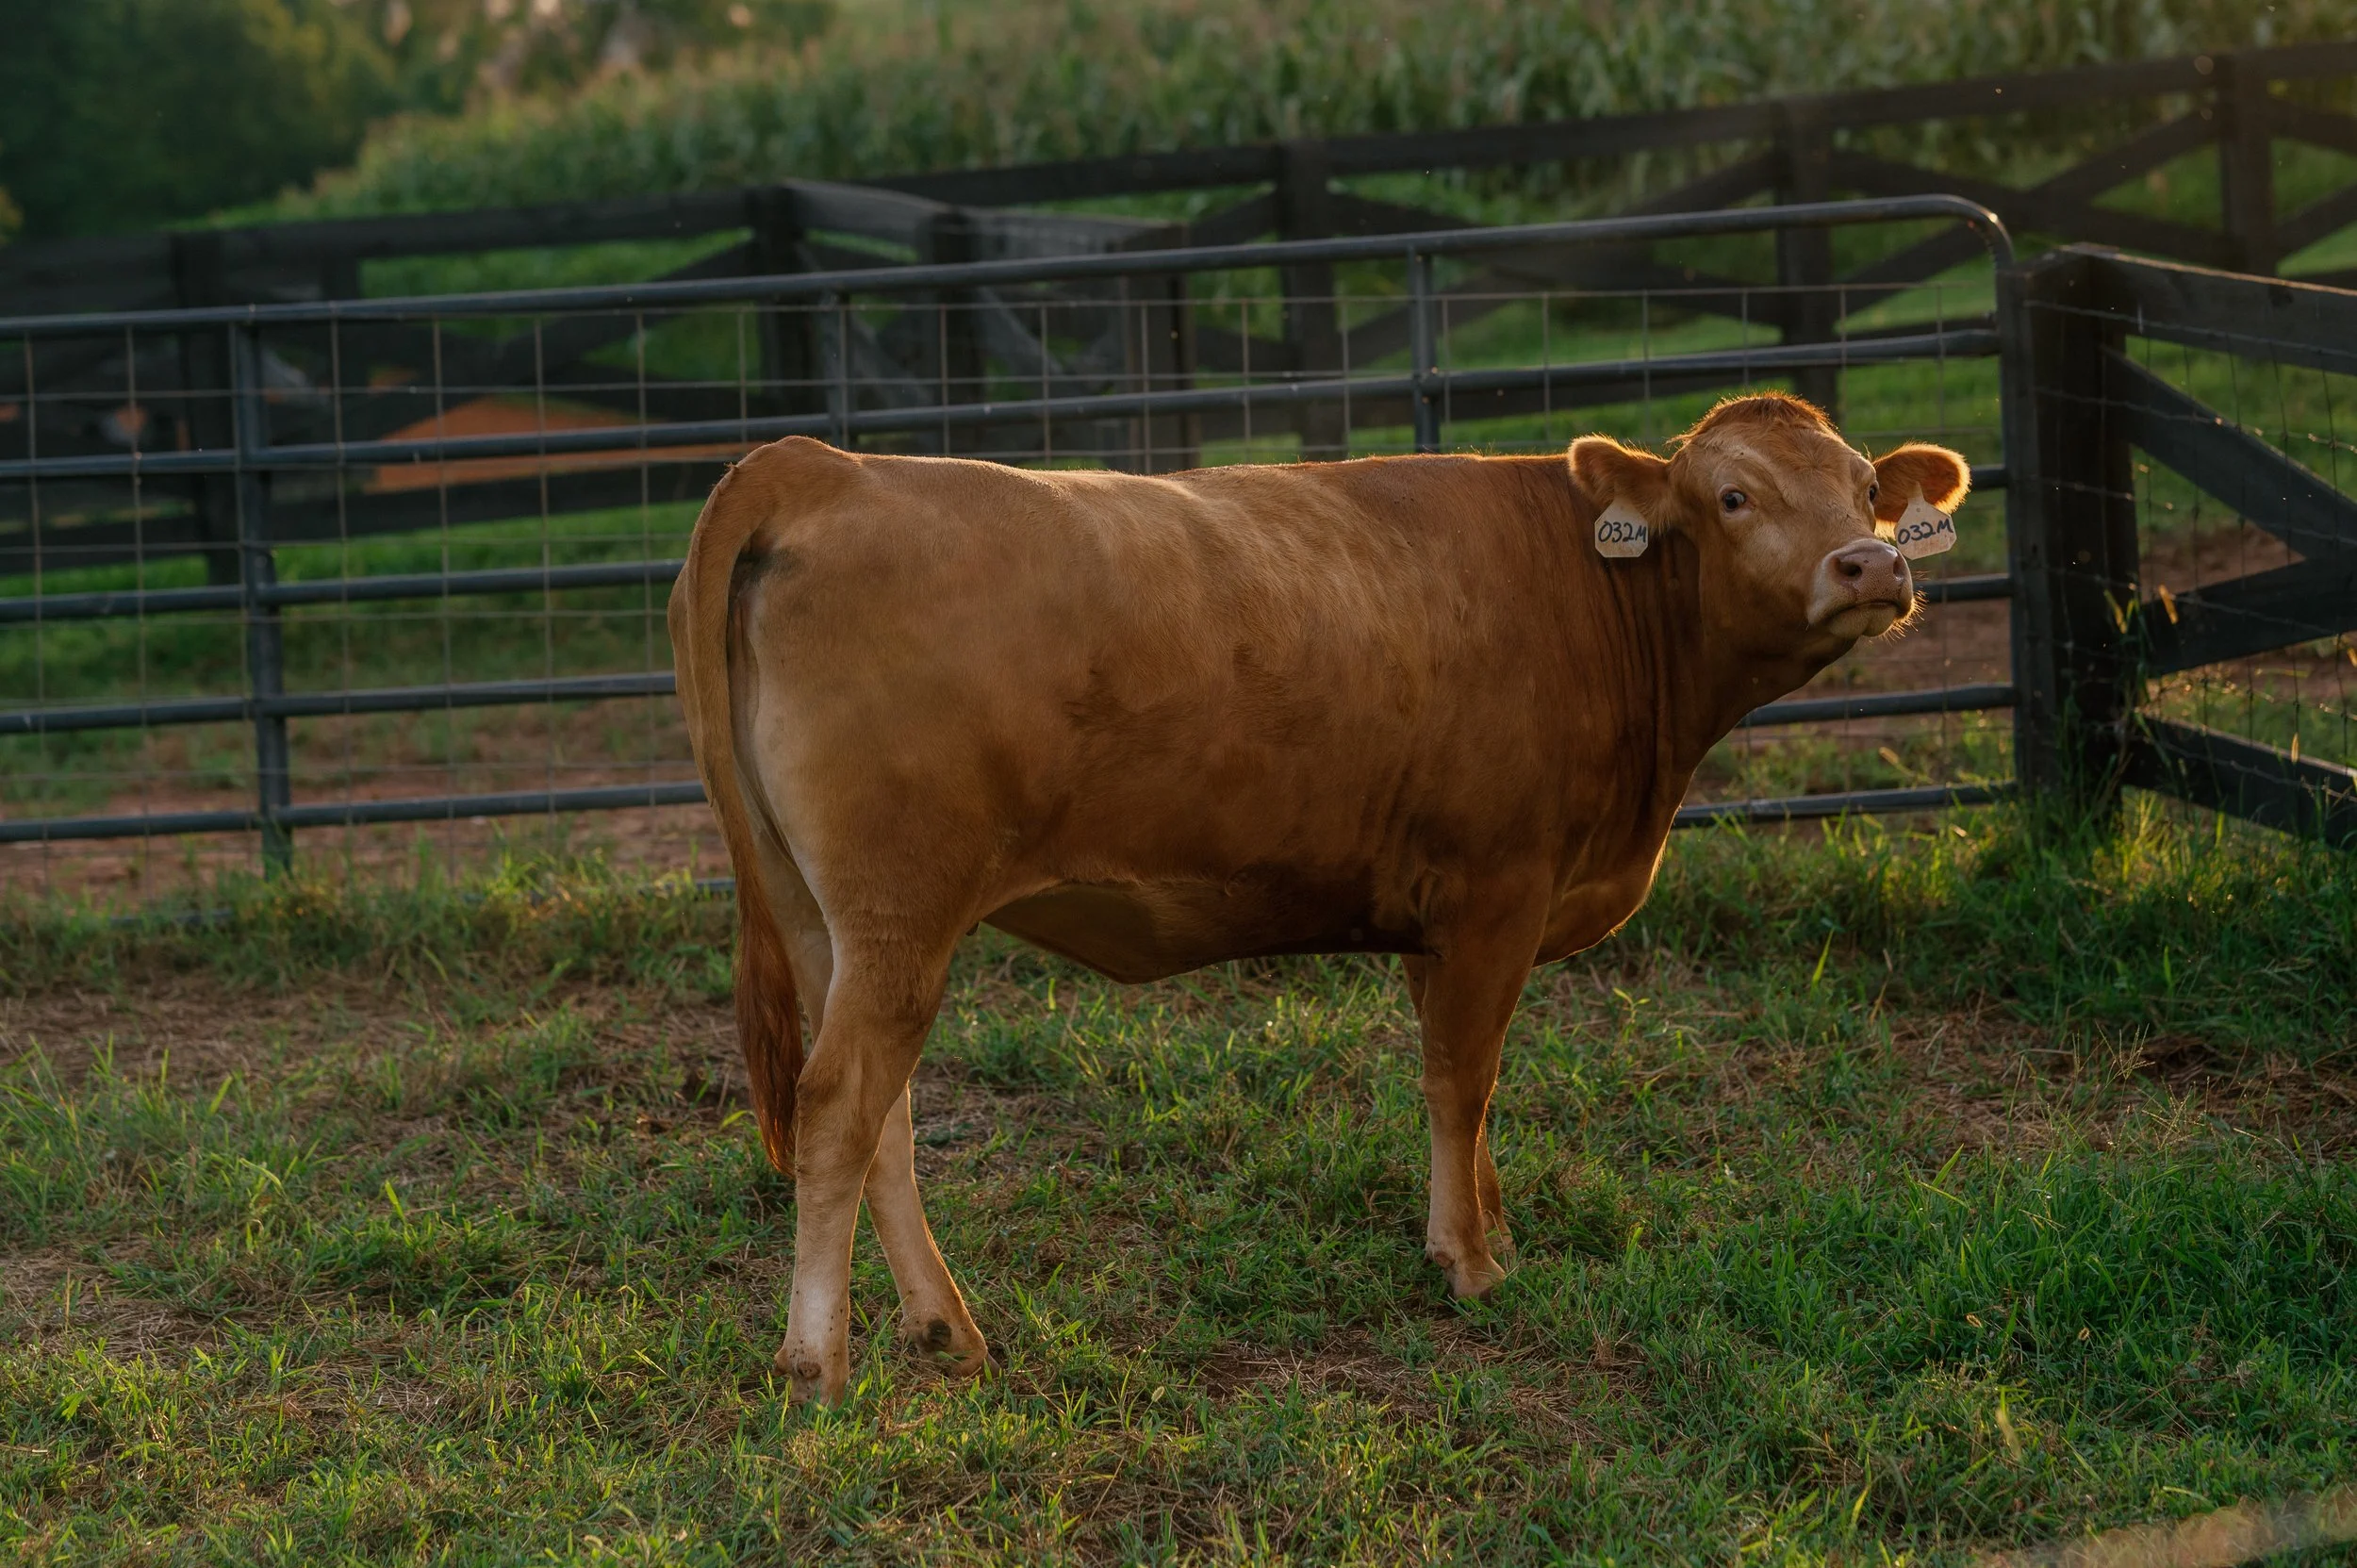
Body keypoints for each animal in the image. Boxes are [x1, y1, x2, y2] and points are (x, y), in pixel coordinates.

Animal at [667, 393, 1970, 1406]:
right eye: (1735, 496)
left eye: (1865, 488)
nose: (1871, 565)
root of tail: (828, 465)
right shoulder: (1495, 893)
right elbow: (1461, 1080)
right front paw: (1470, 1264)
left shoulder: (1439, 917)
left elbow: (1471, 1094)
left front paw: (1491, 1226)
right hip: (900, 913)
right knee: (840, 1105)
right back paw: (817, 1365)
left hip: (824, 920)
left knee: (876, 1116)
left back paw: (944, 1327)